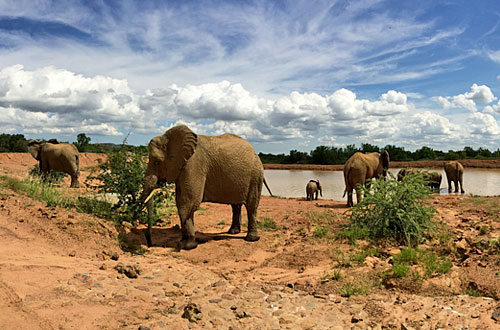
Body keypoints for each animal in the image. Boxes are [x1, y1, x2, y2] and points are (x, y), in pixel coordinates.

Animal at [141, 125, 274, 249]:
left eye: (157, 162)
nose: (149, 244)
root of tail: (255, 152)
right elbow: (180, 201)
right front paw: (182, 242)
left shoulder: (193, 164)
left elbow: (188, 201)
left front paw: (188, 246)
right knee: (236, 205)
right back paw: (233, 232)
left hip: (255, 175)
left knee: (251, 206)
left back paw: (251, 239)